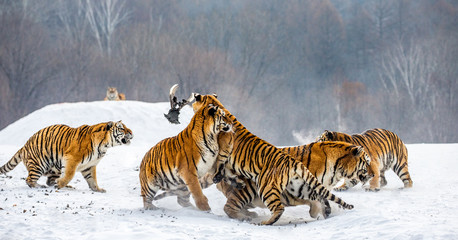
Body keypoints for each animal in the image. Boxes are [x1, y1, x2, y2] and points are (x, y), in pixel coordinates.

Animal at [0, 121, 134, 192]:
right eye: (121, 128)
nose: (132, 132)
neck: (104, 146)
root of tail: (24, 145)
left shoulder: (89, 165)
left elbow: (93, 179)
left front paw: (98, 189)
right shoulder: (72, 159)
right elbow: (69, 174)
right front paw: (60, 184)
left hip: (55, 168)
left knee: (49, 180)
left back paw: (65, 186)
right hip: (39, 164)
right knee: (29, 180)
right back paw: (41, 186)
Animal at [191, 94, 354, 225]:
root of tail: (291, 161)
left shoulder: (223, 152)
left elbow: (220, 165)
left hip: (265, 188)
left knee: (276, 207)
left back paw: (262, 222)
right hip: (294, 186)